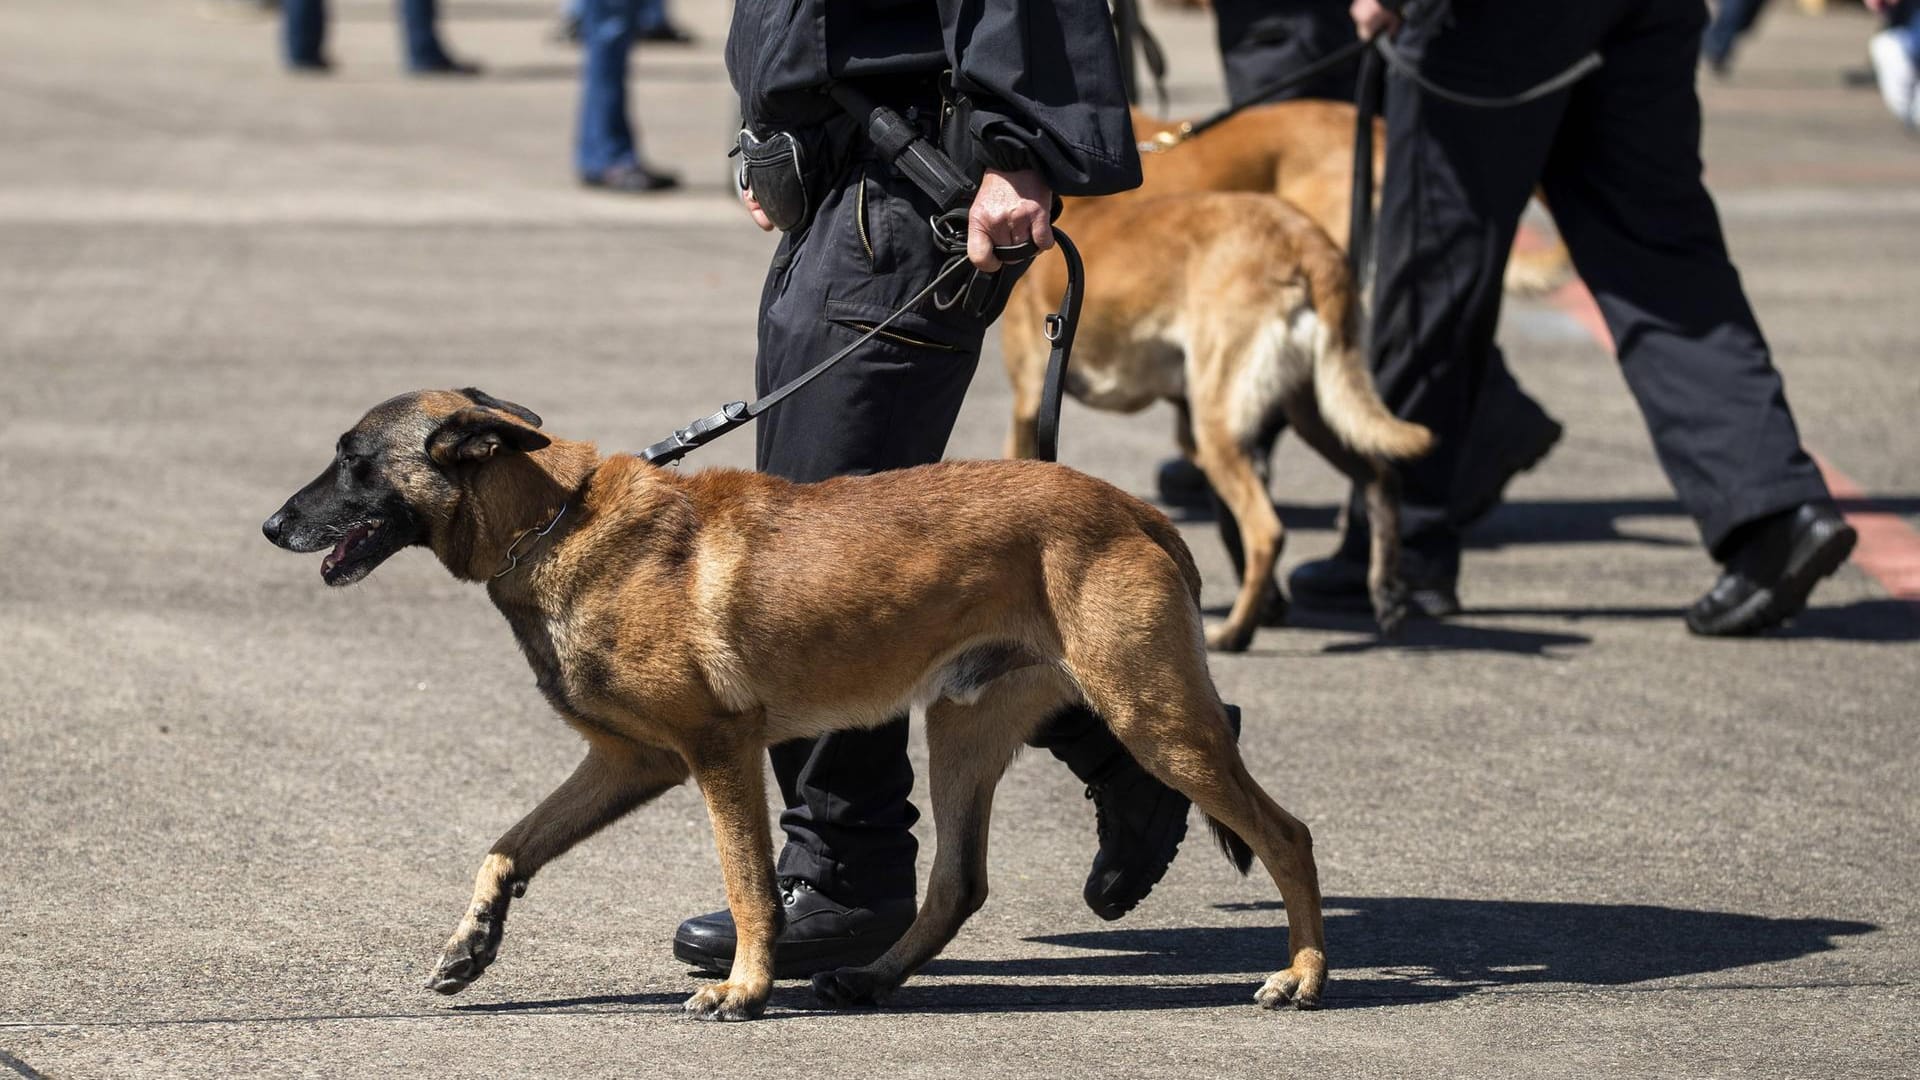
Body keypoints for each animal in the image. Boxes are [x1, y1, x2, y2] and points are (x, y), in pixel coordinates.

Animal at [263, 386, 1328, 1014]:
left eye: (354, 461)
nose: (272, 523)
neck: (552, 519)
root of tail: (1132, 506)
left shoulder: (716, 752)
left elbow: (747, 883)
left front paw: (745, 988)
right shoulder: (629, 762)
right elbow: (509, 845)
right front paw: (472, 943)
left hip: (1149, 712)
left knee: (1286, 833)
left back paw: (1305, 974)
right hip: (966, 730)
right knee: (958, 881)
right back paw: (877, 975)